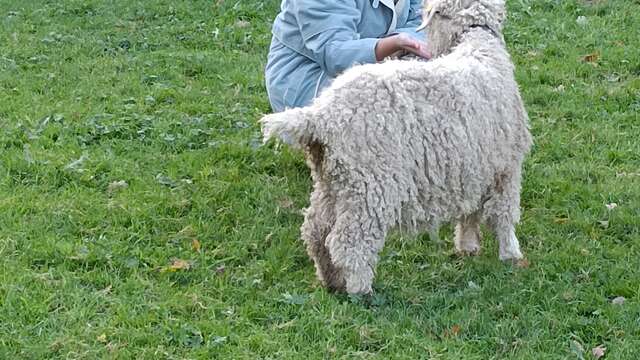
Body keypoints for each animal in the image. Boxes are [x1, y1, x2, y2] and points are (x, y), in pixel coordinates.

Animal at [258, 0, 528, 294]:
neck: (477, 42)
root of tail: (321, 116)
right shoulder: (506, 165)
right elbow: (504, 214)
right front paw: (511, 254)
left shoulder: (473, 167)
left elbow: (470, 213)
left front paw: (467, 246)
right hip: (370, 183)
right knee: (348, 242)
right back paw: (361, 290)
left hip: (334, 181)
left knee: (316, 230)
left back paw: (332, 281)